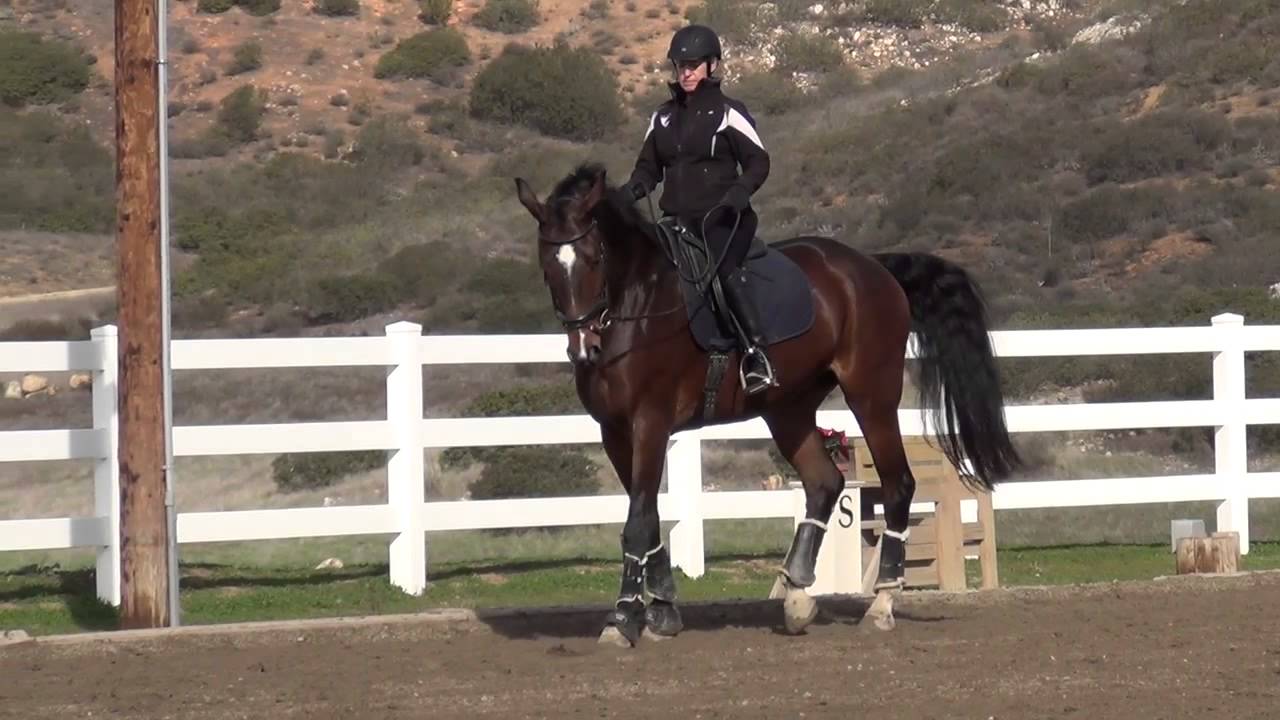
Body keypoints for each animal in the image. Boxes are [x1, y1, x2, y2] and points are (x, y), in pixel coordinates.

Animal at [514, 163, 1022, 647]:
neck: (635, 310)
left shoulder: (649, 423)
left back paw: (880, 605)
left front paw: (622, 620)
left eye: (594, 258)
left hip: (871, 396)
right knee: (824, 483)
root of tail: (872, 268)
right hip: (788, 409)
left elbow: (638, 523)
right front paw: (662, 612)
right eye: (546, 266)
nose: (584, 349)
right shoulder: (615, 431)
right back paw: (797, 596)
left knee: (897, 484)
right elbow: (651, 518)